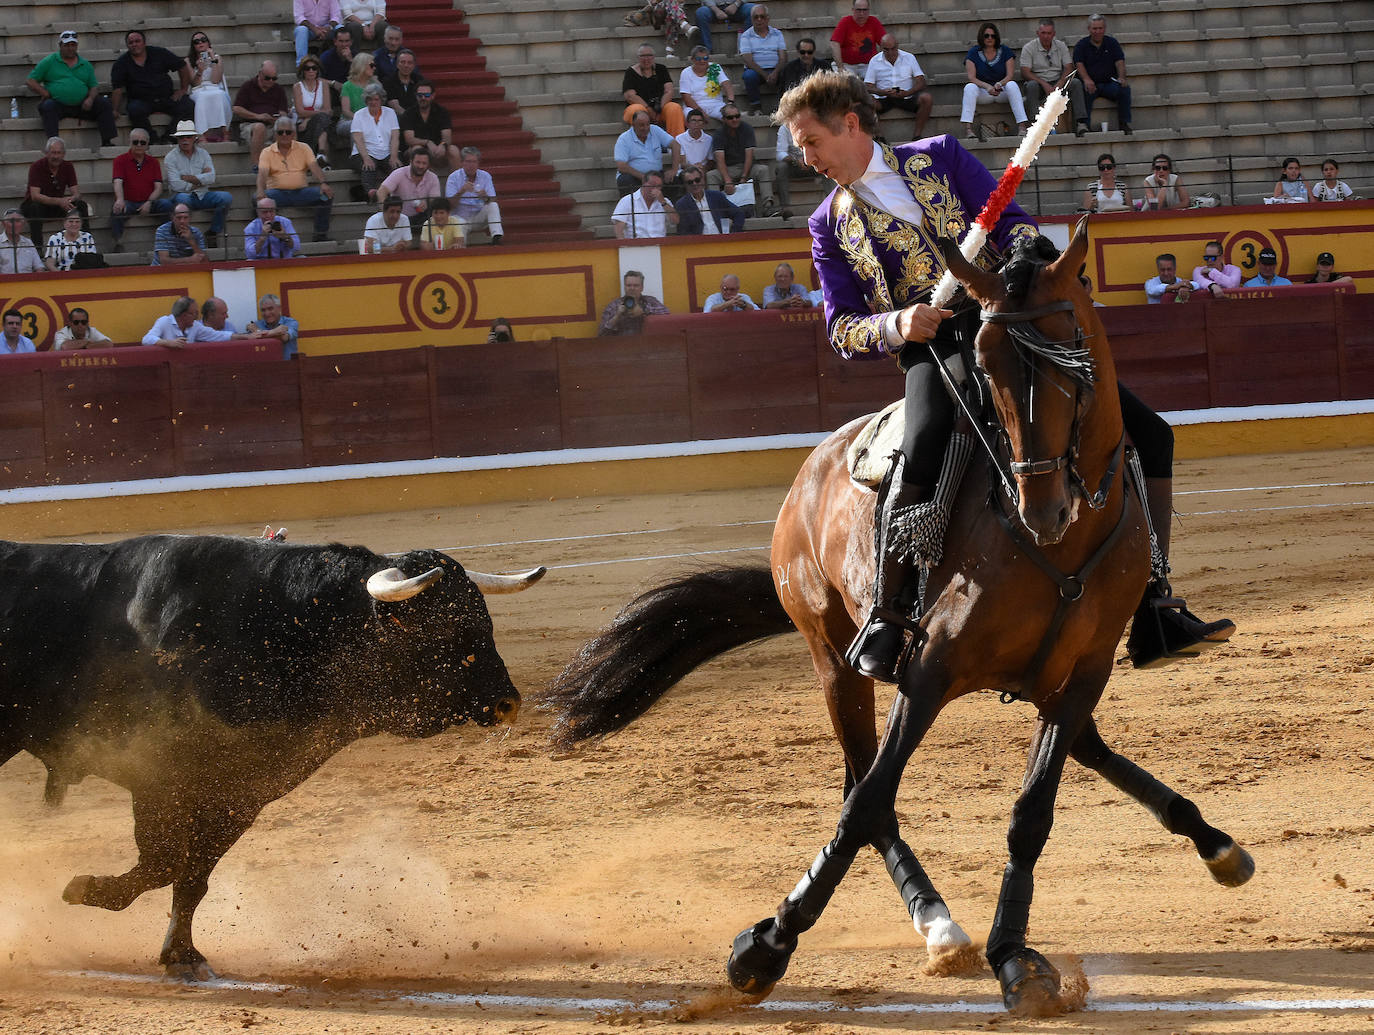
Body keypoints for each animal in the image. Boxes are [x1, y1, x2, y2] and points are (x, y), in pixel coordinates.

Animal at [0, 533, 541, 978]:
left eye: (484, 618)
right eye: (443, 627)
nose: (508, 704)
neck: (285, 629)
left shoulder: (241, 793)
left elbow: (191, 875)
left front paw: (182, 955)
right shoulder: (160, 777)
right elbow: (166, 861)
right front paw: (85, 889)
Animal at [541, 222, 1253, 1011]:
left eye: (1072, 349)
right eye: (985, 366)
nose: (1042, 507)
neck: (1060, 543)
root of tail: (806, 479)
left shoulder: (1087, 667)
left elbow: (1032, 811)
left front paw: (1016, 957)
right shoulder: (932, 668)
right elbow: (867, 800)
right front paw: (765, 946)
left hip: (1040, 676)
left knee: (1078, 750)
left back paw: (1215, 845)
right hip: (834, 658)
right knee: (864, 786)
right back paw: (937, 924)